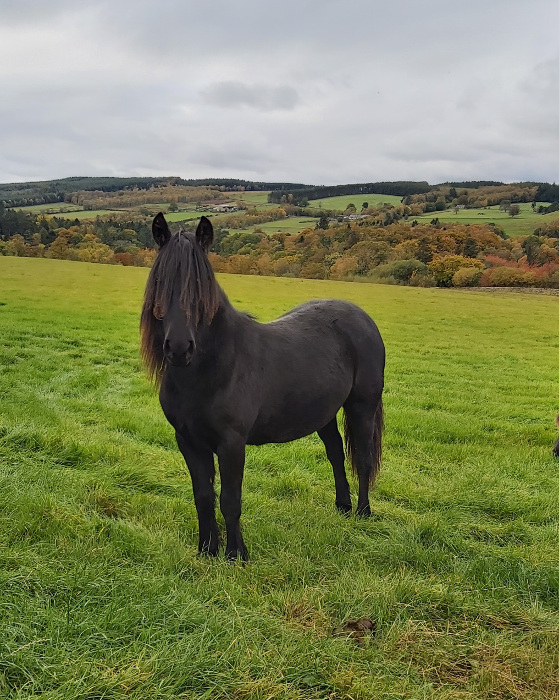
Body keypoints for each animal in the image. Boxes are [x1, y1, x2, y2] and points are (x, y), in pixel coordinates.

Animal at [141, 211, 384, 560]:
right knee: (336, 454)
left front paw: (236, 554)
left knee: (362, 458)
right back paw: (342, 505)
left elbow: (230, 500)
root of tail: (362, 318)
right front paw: (207, 550)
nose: (178, 348)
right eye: (160, 281)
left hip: (362, 406)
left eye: (202, 285)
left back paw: (363, 512)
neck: (212, 369)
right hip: (323, 413)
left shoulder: (231, 443)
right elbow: (203, 496)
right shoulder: (188, 440)